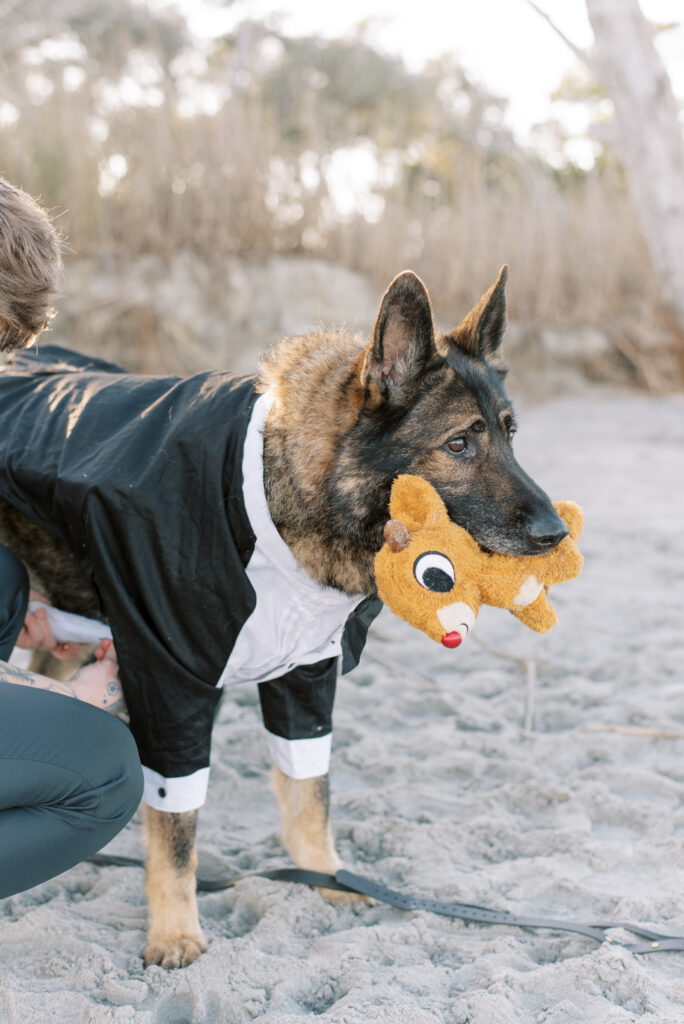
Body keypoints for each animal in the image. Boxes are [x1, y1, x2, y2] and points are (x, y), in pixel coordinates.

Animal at [0, 178, 565, 966]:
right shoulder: (172, 687)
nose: (556, 533)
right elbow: (176, 830)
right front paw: (175, 930)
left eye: (511, 435)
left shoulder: (306, 680)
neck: (287, 496)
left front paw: (324, 878)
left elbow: (310, 797)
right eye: (459, 444)